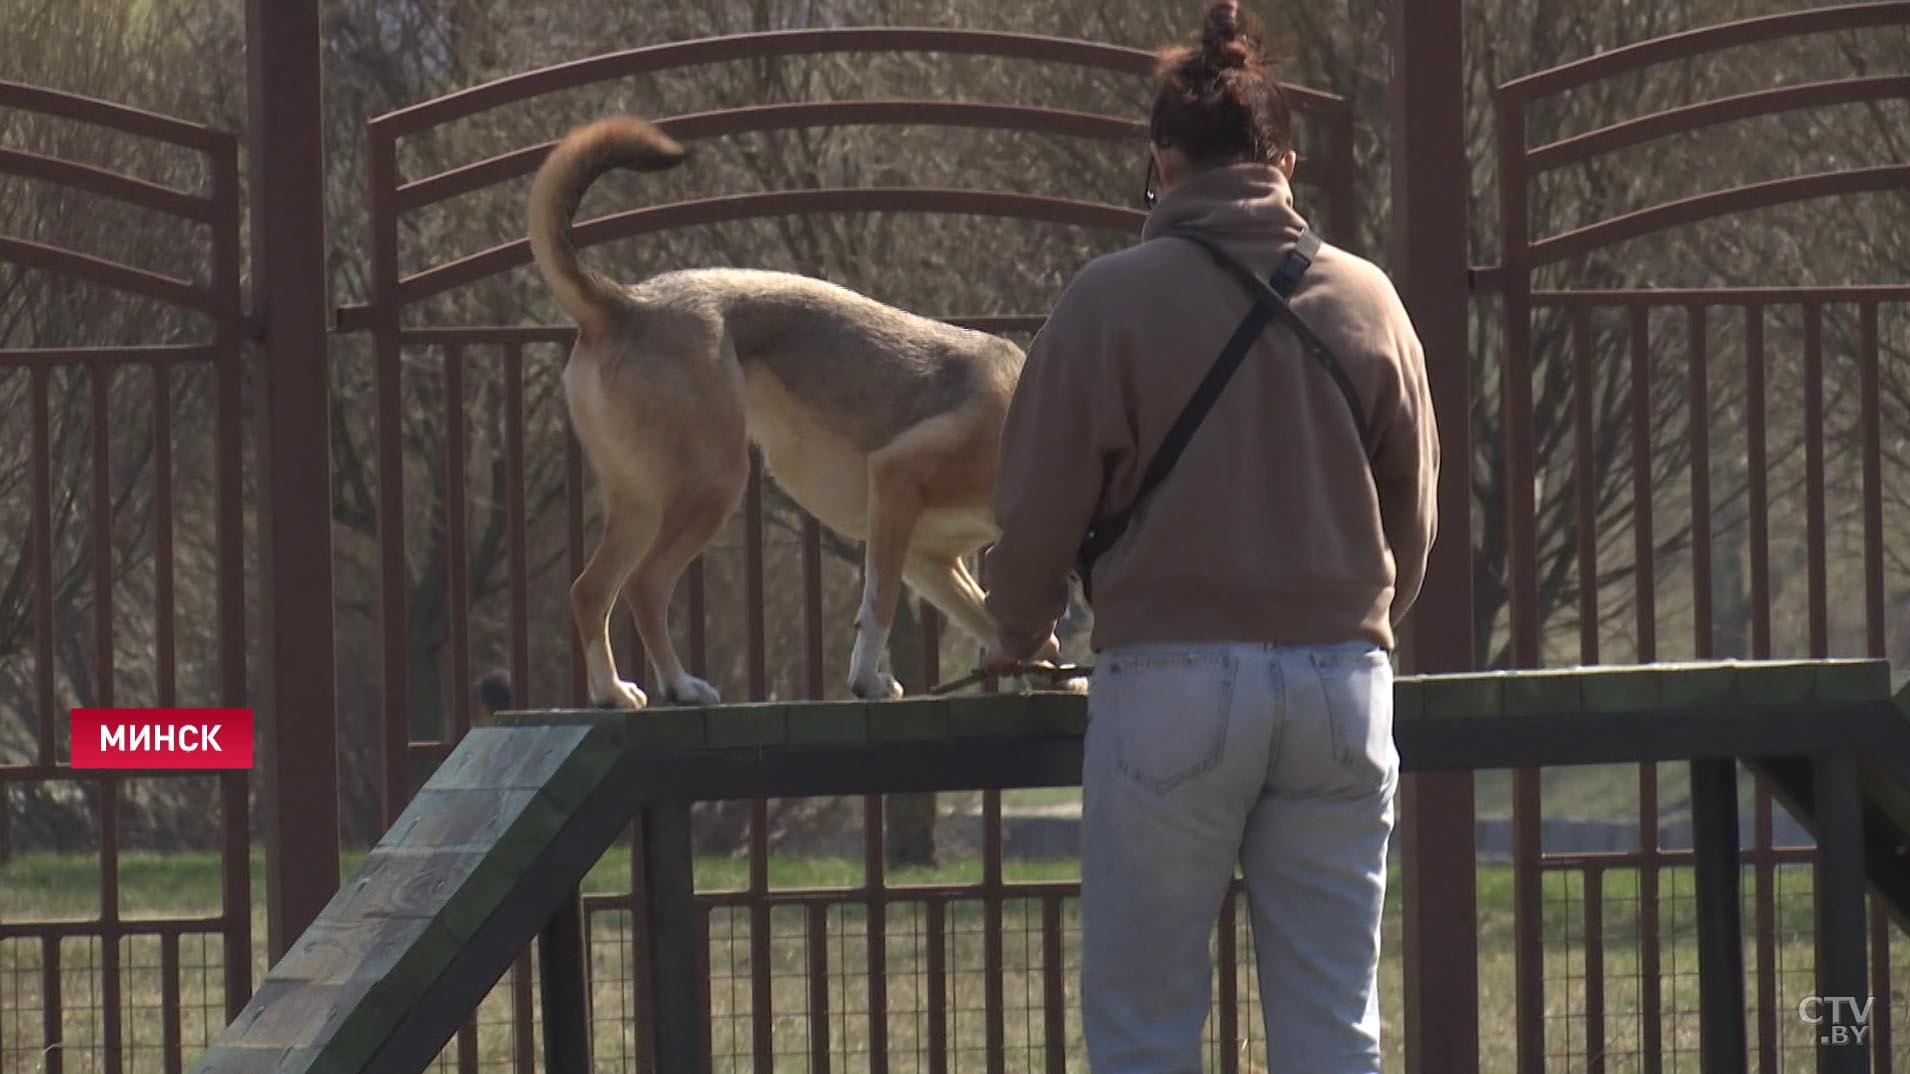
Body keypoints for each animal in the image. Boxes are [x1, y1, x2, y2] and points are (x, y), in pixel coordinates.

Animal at [530, 117, 1054, 707]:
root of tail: (624, 304)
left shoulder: (928, 556)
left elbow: (1007, 626)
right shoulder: (896, 484)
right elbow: (879, 605)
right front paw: (866, 679)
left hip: (641, 502)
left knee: (590, 591)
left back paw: (614, 691)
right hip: (713, 484)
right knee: (645, 586)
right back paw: (681, 685)